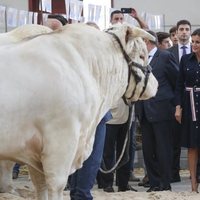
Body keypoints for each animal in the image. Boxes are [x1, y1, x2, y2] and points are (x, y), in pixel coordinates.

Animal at [0, 23, 158, 198]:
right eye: (142, 56)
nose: (156, 85)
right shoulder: (61, 140)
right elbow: (56, 185)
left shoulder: (34, 151)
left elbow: (40, 186)